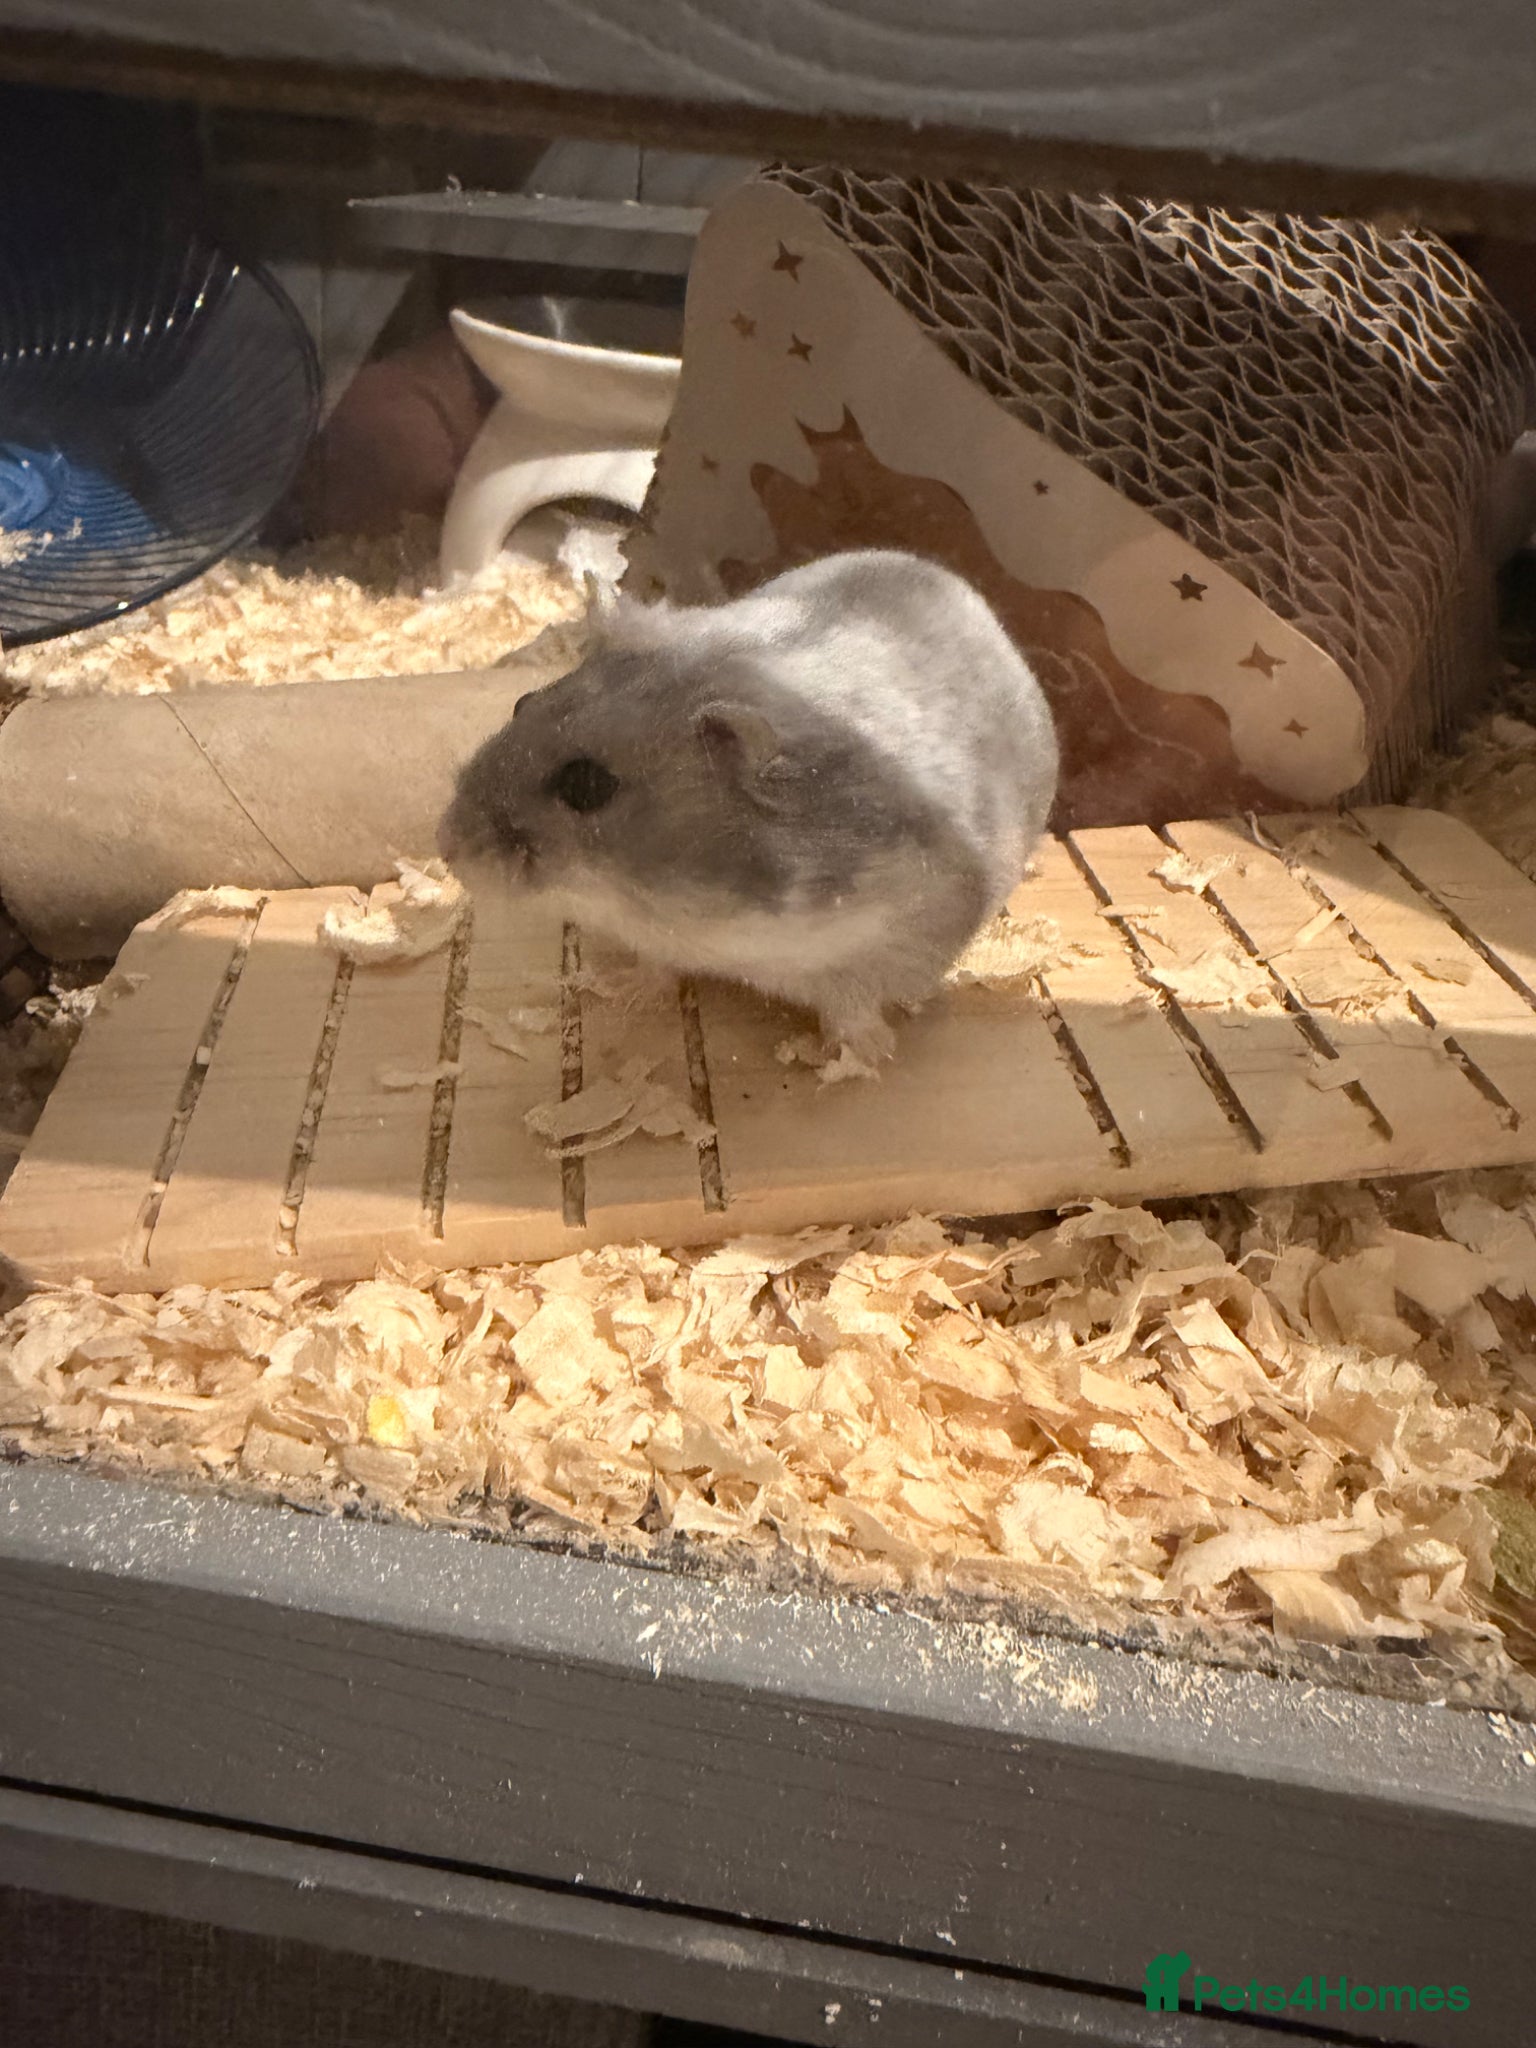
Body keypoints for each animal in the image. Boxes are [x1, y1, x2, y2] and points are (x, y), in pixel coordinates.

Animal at [439, 548, 1059, 1064]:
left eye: (586, 786)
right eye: (521, 702)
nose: (449, 851)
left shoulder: (896, 940)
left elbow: (852, 1007)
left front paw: (857, 1060)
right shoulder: (659, 940)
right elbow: (655, 967)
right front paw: (620, 990)